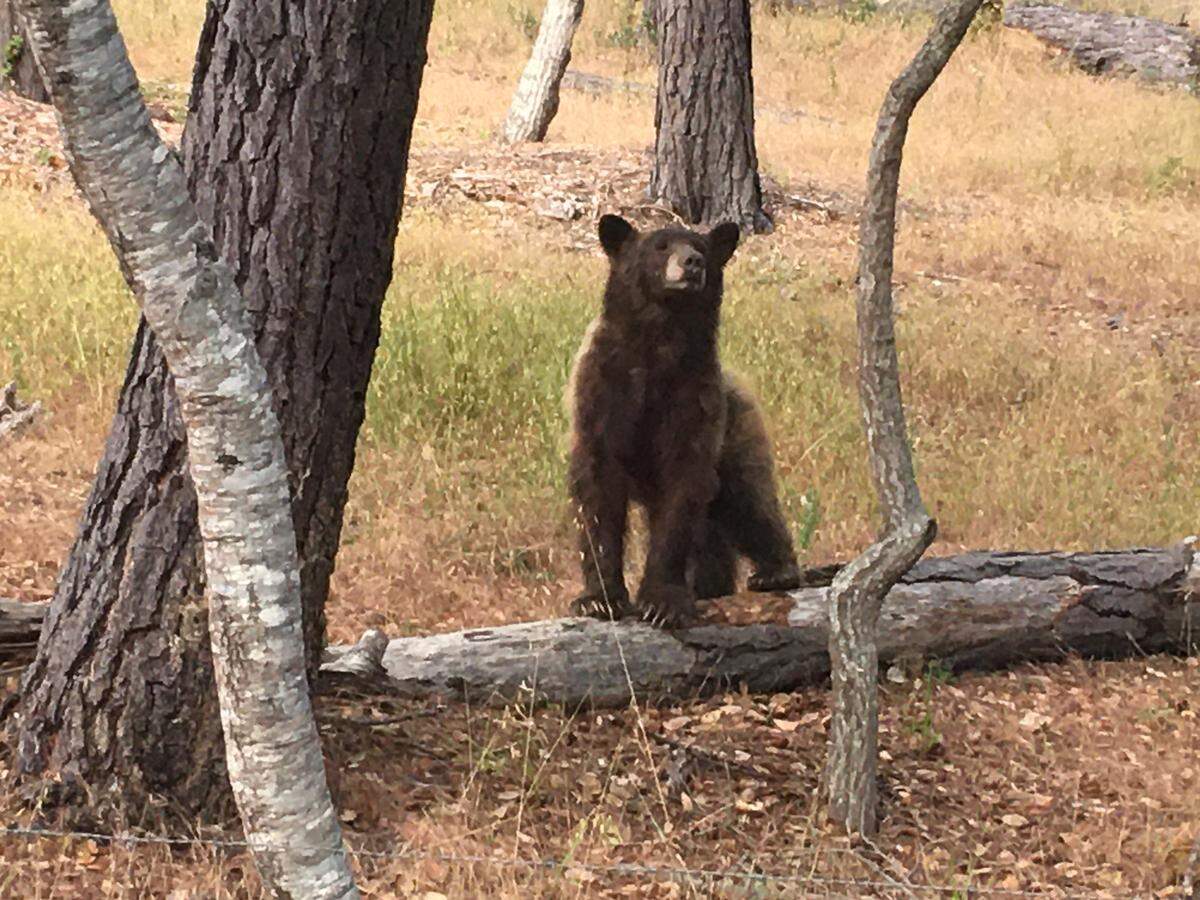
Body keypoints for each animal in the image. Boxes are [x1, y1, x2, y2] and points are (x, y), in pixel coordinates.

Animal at [565, 213, 802, 628]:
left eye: (701, 246)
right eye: (659, 245)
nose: (692, 262)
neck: (660, 340)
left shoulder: (693, 395)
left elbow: (683, 485)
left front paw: (662, 601)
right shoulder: (603, 390)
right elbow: (597, 486)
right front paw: (599, 599)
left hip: (735, 432)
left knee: (748, 501)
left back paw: (776, 571)